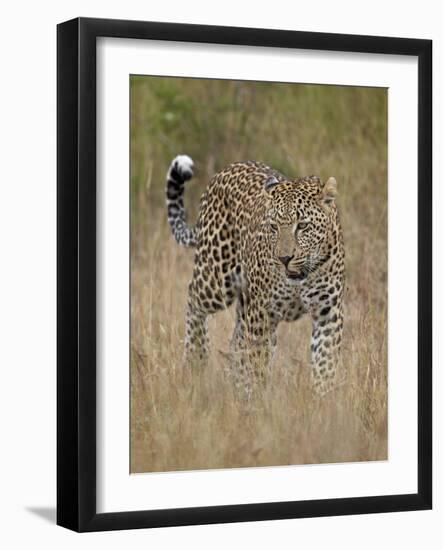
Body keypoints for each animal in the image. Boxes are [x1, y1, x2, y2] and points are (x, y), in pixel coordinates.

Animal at [166, 155, 346, 396]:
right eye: (273, 227)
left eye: (303, 226)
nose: (284, 258)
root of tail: (225, 170)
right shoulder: (262, 313)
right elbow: (258, 363)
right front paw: (260, 401)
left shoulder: (328, 312)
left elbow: (324, 363)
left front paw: (323, 399)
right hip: (217, 280)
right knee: (193, 299)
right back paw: (197, 357)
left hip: (244, 302)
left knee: (237, 343)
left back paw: (236, 387)